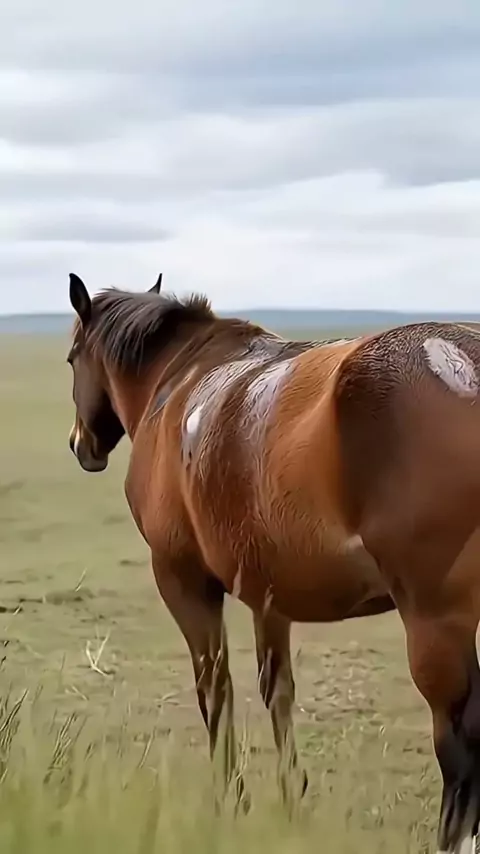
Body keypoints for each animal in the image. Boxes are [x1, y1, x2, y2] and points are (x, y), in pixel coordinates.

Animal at [67, 270, 480, 852]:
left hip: (434, 620)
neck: (177, 383)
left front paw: (231, 800)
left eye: (71, 358)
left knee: (459, 741)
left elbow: (215, 690)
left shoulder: (182, 580)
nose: (81, 445)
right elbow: (277, 691)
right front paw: (290, 798)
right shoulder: (270, 595)